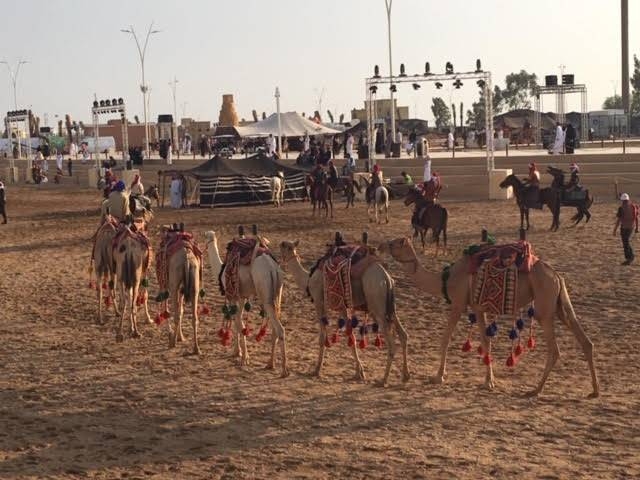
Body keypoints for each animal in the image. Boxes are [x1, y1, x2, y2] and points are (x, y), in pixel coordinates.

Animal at [205, 231, 288, 376]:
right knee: (274, 328)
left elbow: (239, 324)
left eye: (206, 236)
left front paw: (244, 358)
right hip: (278, 292)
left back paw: (283, 370)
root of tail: (272, 268)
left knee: (280, 329)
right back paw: (270, 364)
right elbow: (237, 322)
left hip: (264, 290)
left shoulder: (233, 295)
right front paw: (237, 353)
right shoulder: (242, 296)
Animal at [278, 240, 408, 386]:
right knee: (403, 335)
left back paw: (383, 380)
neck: (308, 278)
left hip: (376, 301)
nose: (280, 244)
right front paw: (359, 372)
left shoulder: (319, 301)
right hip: (389, 307)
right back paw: (405, 376)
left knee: (391, 343)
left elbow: (323, 338)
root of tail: (386, 277)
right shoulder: (341, 306)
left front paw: (316, 370)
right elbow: (350, 335)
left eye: (284, 246)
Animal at [378, 236, 596, 398]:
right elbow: (486, 341)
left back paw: (536, 390)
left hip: (544, 305)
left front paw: (438, 377)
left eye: (394, 243)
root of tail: (557, 275)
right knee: (584, 339)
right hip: (558, 303)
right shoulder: (478, 308)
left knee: (555, 349)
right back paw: (595, 391)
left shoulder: (458, 304)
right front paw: (489, 381)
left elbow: (446, 339)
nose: (380, 245)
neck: (445, 279)